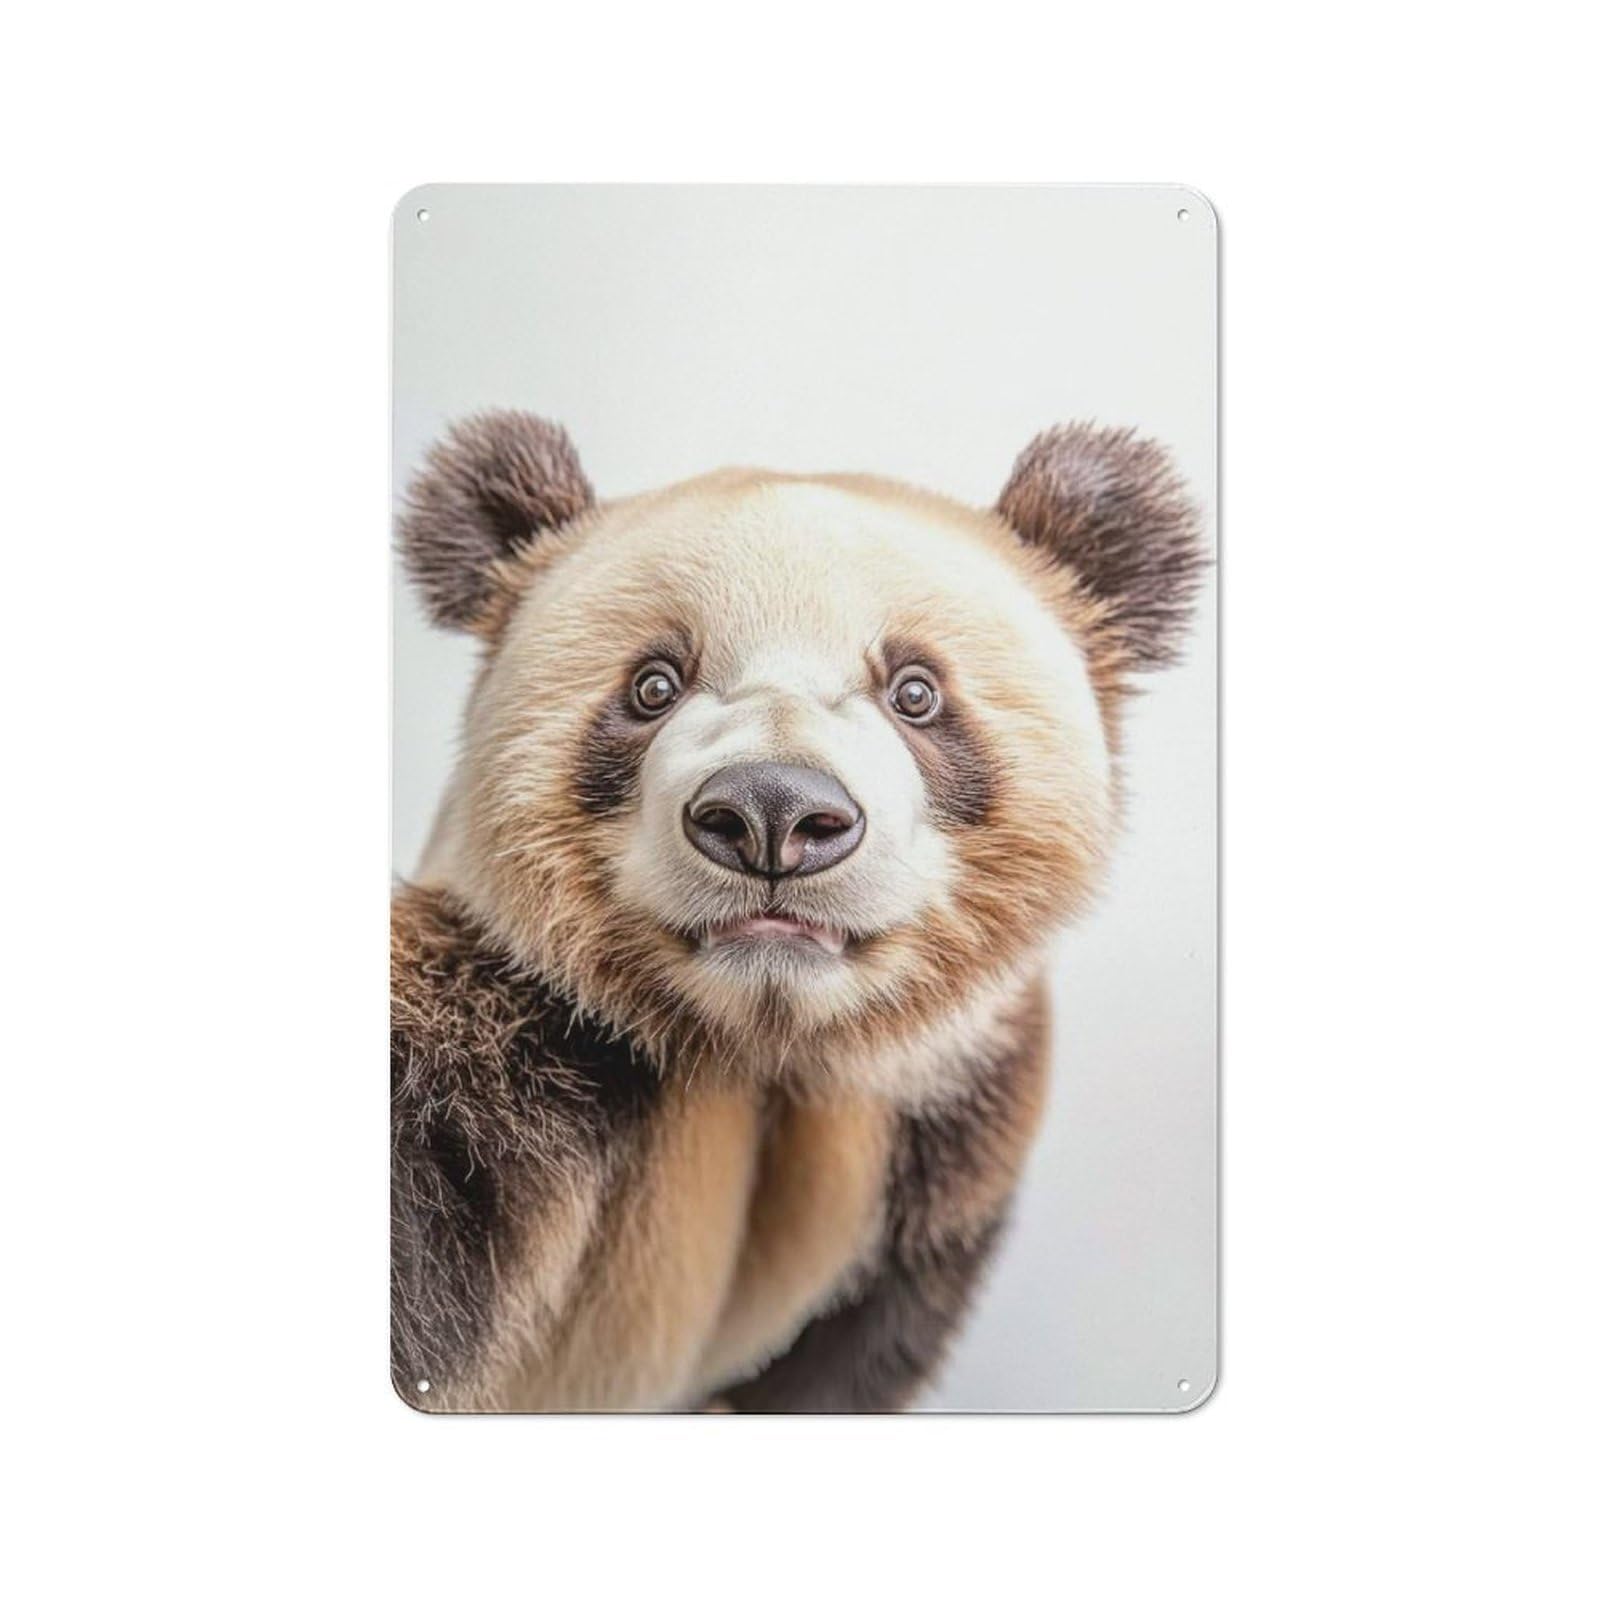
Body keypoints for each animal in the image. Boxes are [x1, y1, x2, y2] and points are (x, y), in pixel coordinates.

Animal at [392, 410, 1204, 1412]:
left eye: (916, 691)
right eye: (653, 684)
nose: (772, 814)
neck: (760, 1046)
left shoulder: (948, 1116)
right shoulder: (496, 1049)